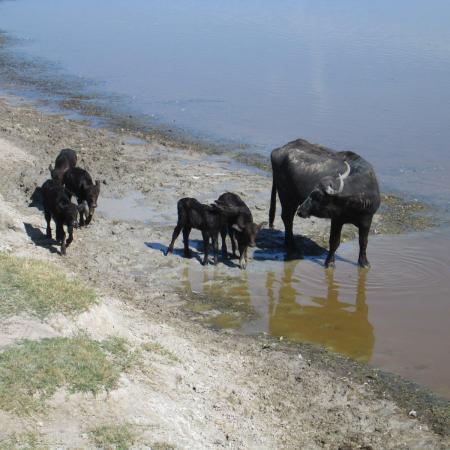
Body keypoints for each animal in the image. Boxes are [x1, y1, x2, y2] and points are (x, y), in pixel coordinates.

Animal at [270, 139, 380, 268]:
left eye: (318, 196)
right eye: (312, 192)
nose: (301, 210)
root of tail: (278, 150)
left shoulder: (367, 220)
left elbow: (363, 242)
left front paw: (364, 262)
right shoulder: (337, 219)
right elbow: (334, 241)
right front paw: (330, 262)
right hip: (287, 197)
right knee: (287, 218)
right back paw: (292, 246)